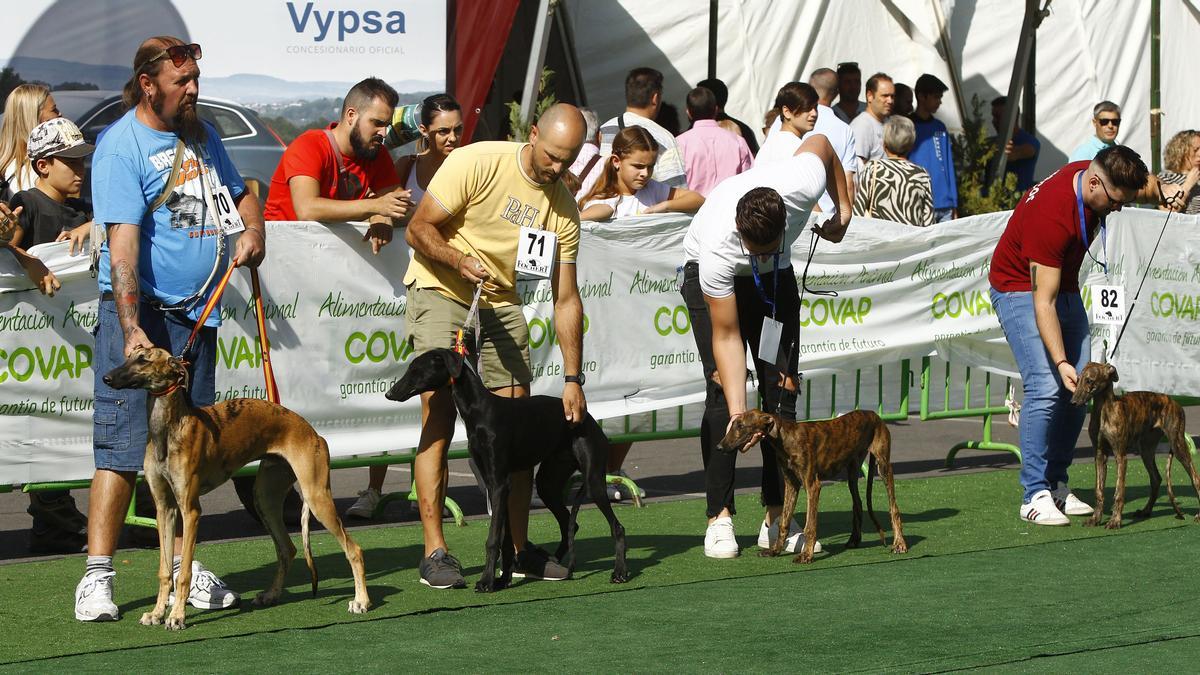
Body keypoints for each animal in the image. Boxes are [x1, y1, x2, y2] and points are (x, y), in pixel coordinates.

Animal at [103, 343, 369, 629]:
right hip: (265, 498)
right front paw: (156, 613)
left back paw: (361, 601)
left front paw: (177, 616)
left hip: (316, 495)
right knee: (287, 549)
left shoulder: (190, 510)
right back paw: (271, 595)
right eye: (129, 356)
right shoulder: (165, 509)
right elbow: (164, 571)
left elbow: (183, 572)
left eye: (143, 360)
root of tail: (312, 431)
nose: (106, 378)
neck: (170, 428)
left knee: (353, 549)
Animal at [386, 345, 633, 588]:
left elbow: (493, 538)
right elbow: (504, 538)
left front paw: (486, 581)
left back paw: (619, 572)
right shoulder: (493, 484)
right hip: (548, 483)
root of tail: (590, 419)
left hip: (593, 481)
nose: (389, 393)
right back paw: (556, 563)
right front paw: (502, 579)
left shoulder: (499, 484)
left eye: (416, 369)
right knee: (568, 523)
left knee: (617, 528)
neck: (480, 411)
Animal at [715, 408, 902, 559]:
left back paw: (899, 544)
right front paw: (775, 551)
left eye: (741, 426)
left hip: (884, 466)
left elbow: (810, 525)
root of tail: (874, 415)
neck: (786, 437)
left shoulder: (812, 486)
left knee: (894, 508)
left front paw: (806, 555)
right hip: (852, 472)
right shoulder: (791, 485)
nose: (719, 447)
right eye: (734, 425)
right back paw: (854, 540)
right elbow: (784, 521)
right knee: (858, 503)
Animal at [1070, 362, 1200, 526]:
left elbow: (1119, 491)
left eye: (1089, 380)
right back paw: (1146, 511)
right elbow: (1099, 490)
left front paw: (1115, 521)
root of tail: (1175, 403)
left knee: (1195, 479)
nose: (1073, 402)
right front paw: (1095, 519)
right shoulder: (1099, 455)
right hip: (1146, 450)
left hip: (1178, 446)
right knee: (1156, 479)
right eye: (1078, 379)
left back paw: (1198, 514)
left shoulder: (1121, 456)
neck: (1104, 411)